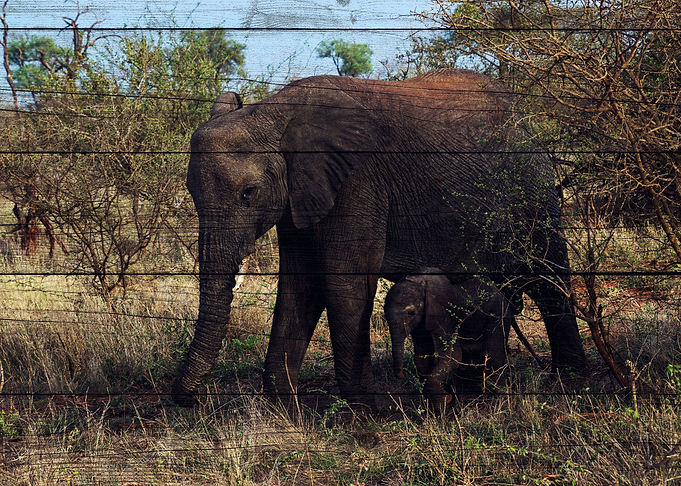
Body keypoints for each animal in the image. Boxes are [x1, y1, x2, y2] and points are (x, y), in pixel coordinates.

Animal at [385, 268, 514, 409]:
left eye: (411, 313)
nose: (403, 374)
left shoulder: (445, 316)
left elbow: (453, 355)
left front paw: (445, 400)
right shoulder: (421, 325)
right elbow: (421, 357)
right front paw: (435, 404)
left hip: (499, 314)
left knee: (494, 355)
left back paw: (500, 400)